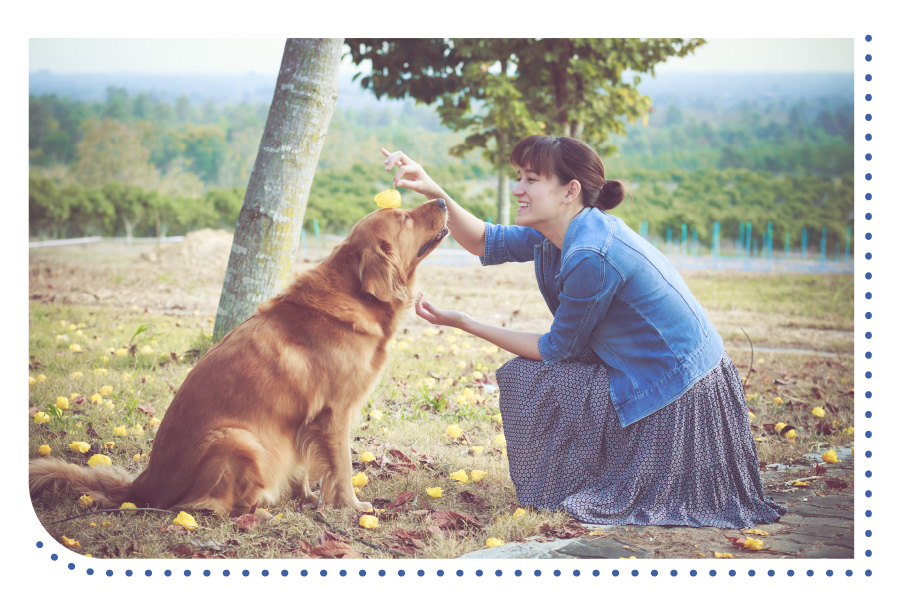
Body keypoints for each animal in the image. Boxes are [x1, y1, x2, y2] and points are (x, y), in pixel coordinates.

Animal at [30, 198, 450, 512]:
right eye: (404, 217)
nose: (443, 200)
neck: (355, 295)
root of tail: (142, 487)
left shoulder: (303, 420)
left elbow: (304, 465)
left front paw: (306, 497)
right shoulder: (335, 413)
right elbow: (343, 468)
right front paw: (352, 507)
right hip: (239, 440)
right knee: (205, 506)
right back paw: (258, 508)